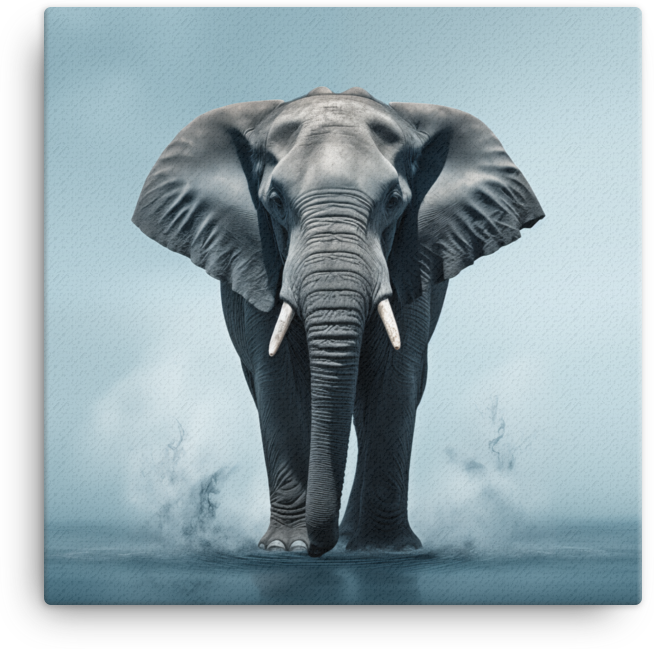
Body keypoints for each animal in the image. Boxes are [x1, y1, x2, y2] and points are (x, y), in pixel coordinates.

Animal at [132, 86, 544, 557]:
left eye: (394, 201)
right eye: (275, 202)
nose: (318, 547)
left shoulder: (412, 260)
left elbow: (393, 384)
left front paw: (386, 550)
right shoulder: (260, 260)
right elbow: (281, 384)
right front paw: (286, 548)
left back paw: (353, 539)